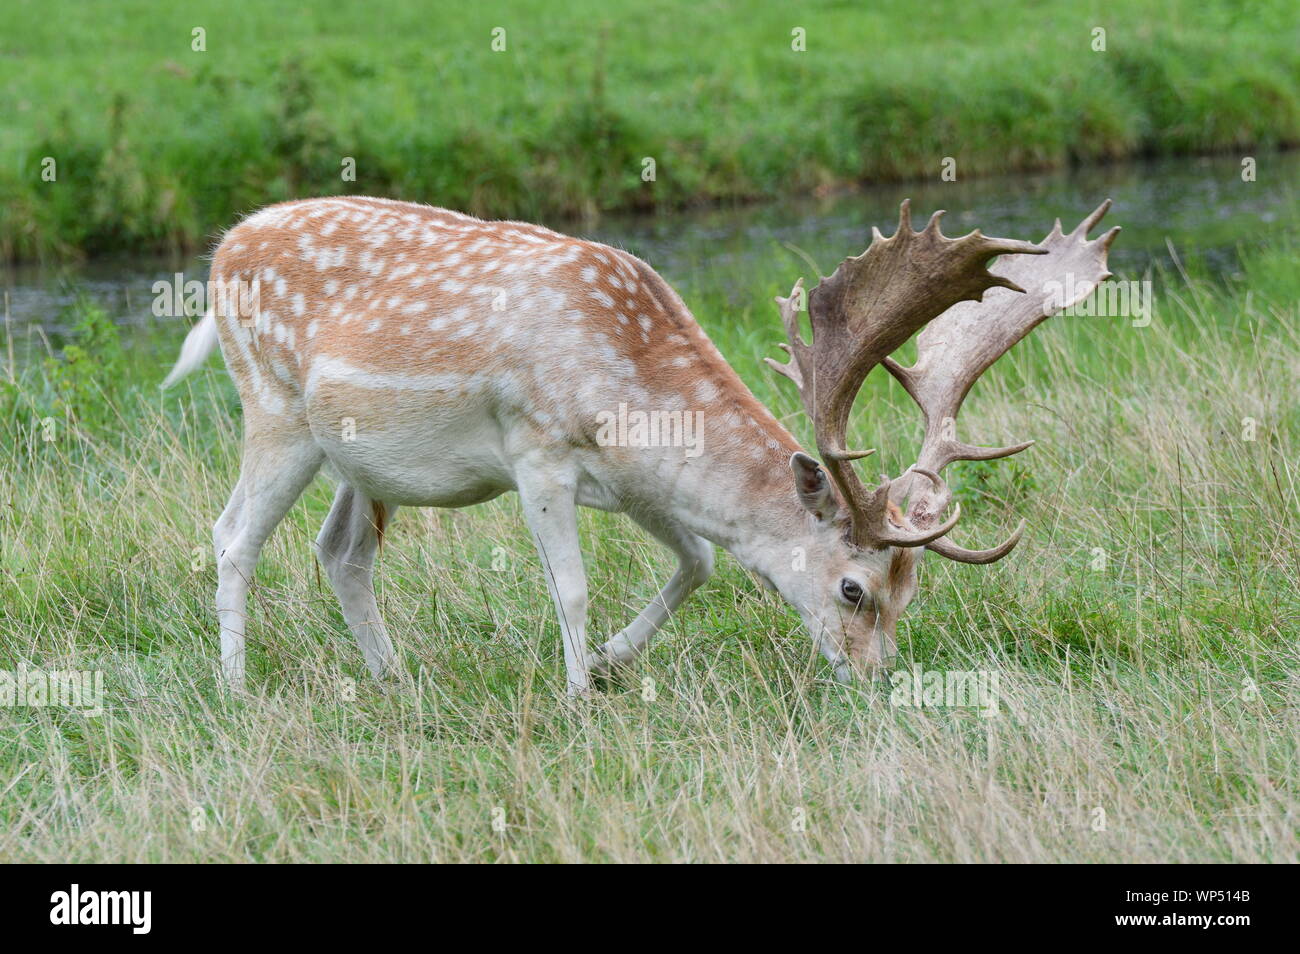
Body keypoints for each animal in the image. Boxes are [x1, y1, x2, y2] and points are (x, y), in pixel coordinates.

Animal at [162, 194, 1118, 696]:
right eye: (854, 588)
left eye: (910, 592)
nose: (875, 677)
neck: (631, 391)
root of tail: (221, 249)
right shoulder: (537, 451)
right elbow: (574, 586)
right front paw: (580, 695)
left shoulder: (630, 484)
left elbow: (700, 560)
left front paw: (612, 661)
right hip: (275, 412)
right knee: (231, 537)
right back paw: (236, 687)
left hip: (359, 463)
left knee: (341, 551)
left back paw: (396, 678)